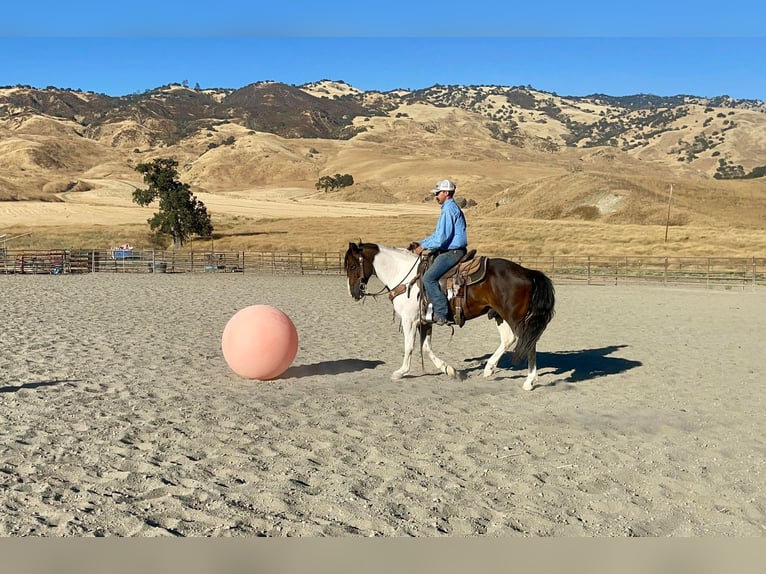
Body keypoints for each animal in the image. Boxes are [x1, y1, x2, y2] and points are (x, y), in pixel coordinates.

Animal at [344, 243, 556, 392]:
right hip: (499, 315)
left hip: (515, 317)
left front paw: (401, 372)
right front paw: (450, 370)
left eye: (353, 265)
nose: (353, 293)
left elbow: (409, 346)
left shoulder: (409, 320)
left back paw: (529, 381)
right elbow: (426, 347)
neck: (404, 275)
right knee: (509, 339)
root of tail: (527, 272)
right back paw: (489, 368)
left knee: (528, 344)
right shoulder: (424, 321)